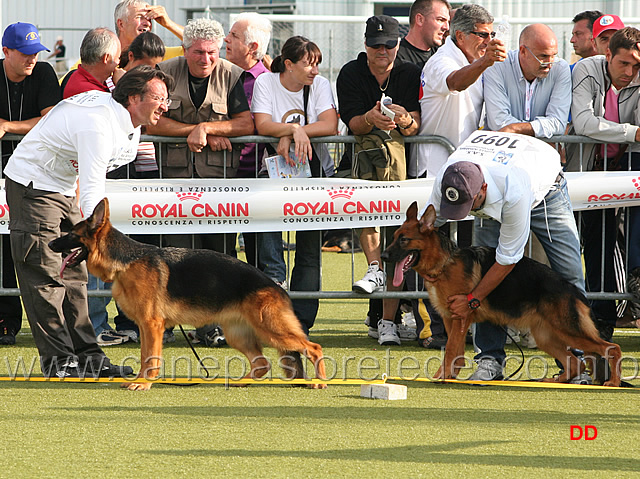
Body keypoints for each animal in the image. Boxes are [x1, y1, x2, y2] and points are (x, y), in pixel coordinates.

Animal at [50, 199, 328, 390]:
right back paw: (241, 381)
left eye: (71, 234)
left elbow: (150, 357)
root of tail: (276, 287)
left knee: (313, 347)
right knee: (262, 364)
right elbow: (144, 356)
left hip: (271, 330)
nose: (51, 243)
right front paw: (140, 380)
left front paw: (145, 383)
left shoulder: (152, 325)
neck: (126, 262)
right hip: (239, 334)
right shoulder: (145, 327)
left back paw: (321, 381)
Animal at [382, 202, 624, 386]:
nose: (383, 256)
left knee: (611, 348)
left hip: (569, 330)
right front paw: (449, 376)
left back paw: (612, 382)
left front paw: (442, 377)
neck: (444, 263)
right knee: (575, 362)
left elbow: (450, 351)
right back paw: (556, 381)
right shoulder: (452, 320)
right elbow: (454, 352)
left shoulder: (460, 317)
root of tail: (574, 290)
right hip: (547, 337)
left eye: (403, 239)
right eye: (393, 237)